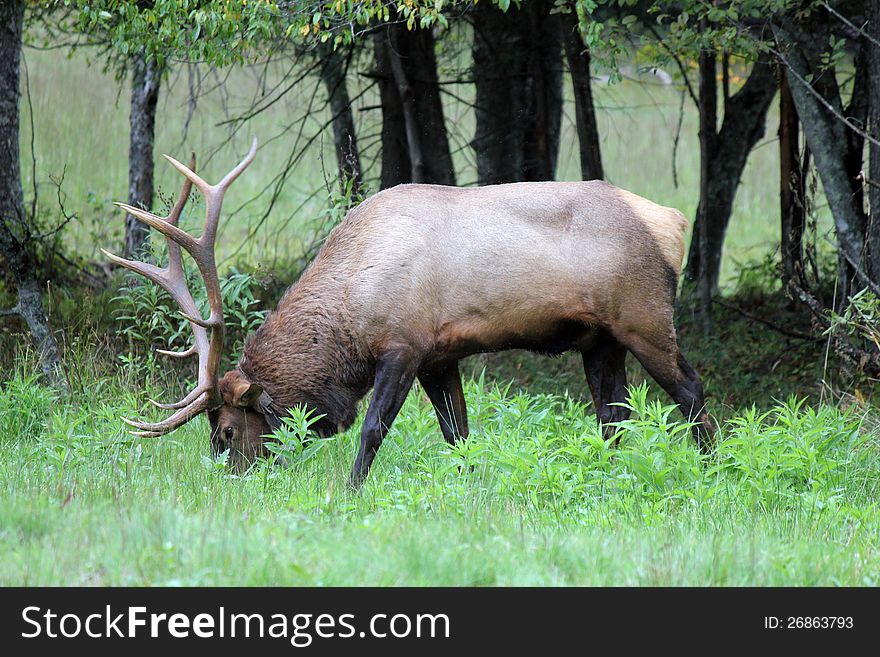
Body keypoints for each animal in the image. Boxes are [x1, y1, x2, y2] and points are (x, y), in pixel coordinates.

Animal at [106, 140, 716, 486]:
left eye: (228, 432)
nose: (229, 482)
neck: (348, 317)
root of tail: (674, 222)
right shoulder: (439, 357)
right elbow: (459, 434)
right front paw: (471, 487)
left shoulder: (403, 345)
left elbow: (372, 429)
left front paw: (349, 492)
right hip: (599, 340)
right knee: (614, 417)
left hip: (644, 318)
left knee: (691, 394)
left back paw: (714, 474)